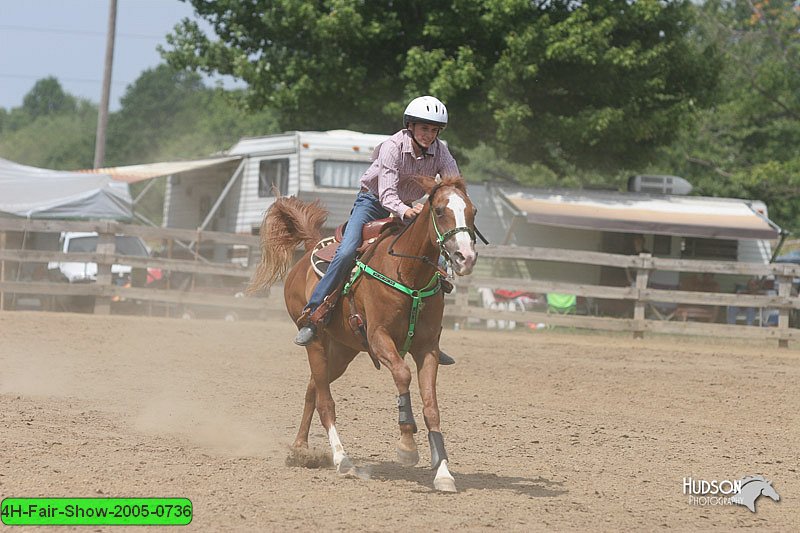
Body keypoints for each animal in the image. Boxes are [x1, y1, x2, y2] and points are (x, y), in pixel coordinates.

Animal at [248, 177, 476, 492]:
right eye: (440, 211)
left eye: (473, 211)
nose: (466, 257)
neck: (408, 272)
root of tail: (310, 250)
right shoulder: (379, 338)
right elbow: (402, 374)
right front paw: (407, 447)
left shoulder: (427, 347)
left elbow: (432, 407)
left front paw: (443, 471)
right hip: (316, 343)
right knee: (325, 401)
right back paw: (342, 460)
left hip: (342, 352)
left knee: (312, 390)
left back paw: (300, 449)